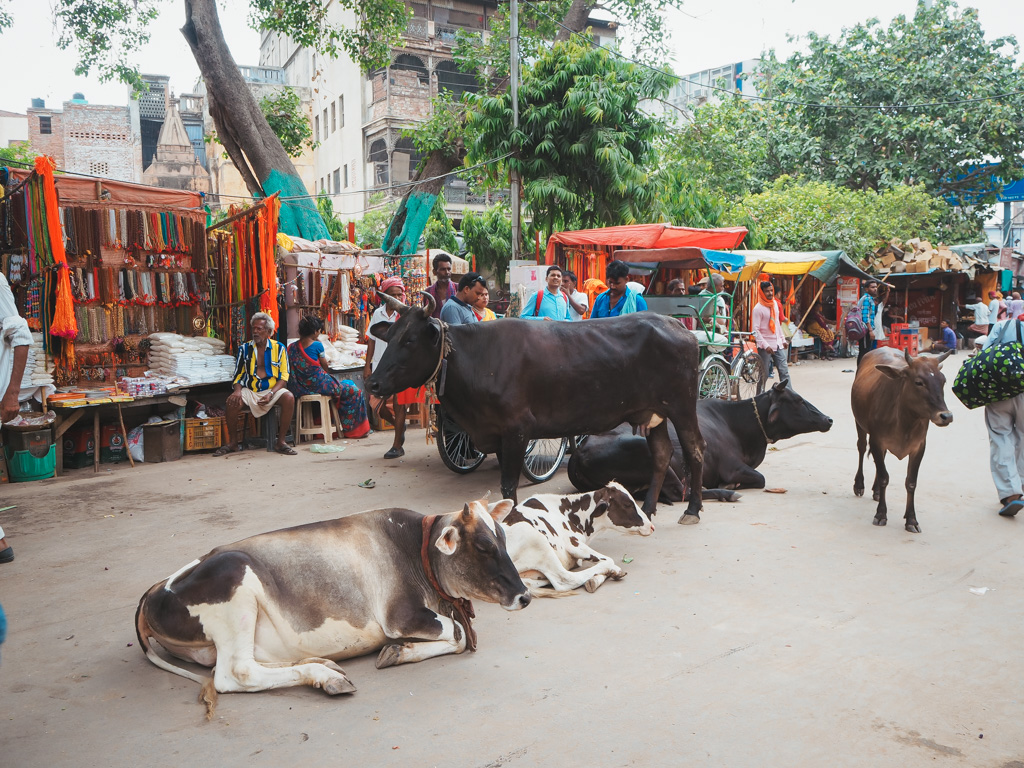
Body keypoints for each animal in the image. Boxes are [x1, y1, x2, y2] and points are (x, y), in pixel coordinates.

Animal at [137, 499, 532, 716]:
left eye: (503, 537)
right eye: (482, 546)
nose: (525, 595)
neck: (413, 548)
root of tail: (154, 590)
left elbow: (459, 635)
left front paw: (398, 652)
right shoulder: (401, 615)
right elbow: (460, 632)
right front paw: (400, 650)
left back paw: (322, 666)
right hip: (234, 584)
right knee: (237, 672)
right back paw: (325, 675)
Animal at [364, 290, 708, 520]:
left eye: (410, 340)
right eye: (390, 335)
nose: (372, 384)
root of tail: (679, 327)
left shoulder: (516, 431)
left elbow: (508, 487)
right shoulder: (496, 435)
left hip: (682, 406)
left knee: (695, 448)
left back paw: (692, 509)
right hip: (654, 413)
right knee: (662, 454)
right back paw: (648, 508)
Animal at [503, 483, 655, 598]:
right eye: (627, 504)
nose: (652, 526)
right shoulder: (573, 544)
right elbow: (608, 560)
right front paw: (612, 571)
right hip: (537, 541)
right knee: (565, 580)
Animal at [569, 380, 831, 524]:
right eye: (798, 400)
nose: (828, 419)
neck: (737, 424)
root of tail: (578, 453)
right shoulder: (732, 467)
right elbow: (760, 478)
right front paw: (730, 486)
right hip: (646, 450)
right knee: (678, 493)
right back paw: (725, 493)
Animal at [847, 350, 950, 536]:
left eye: (943, 380)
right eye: (918, 382)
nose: (946, 416)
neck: (905, 420)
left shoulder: (919, 447)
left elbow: (911, 482)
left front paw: (911, 520)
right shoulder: (876, 440)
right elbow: (884, 477)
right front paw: (881, 514)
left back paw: (877, 492)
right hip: (859, 424)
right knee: (861, 448)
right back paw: (859, 485)